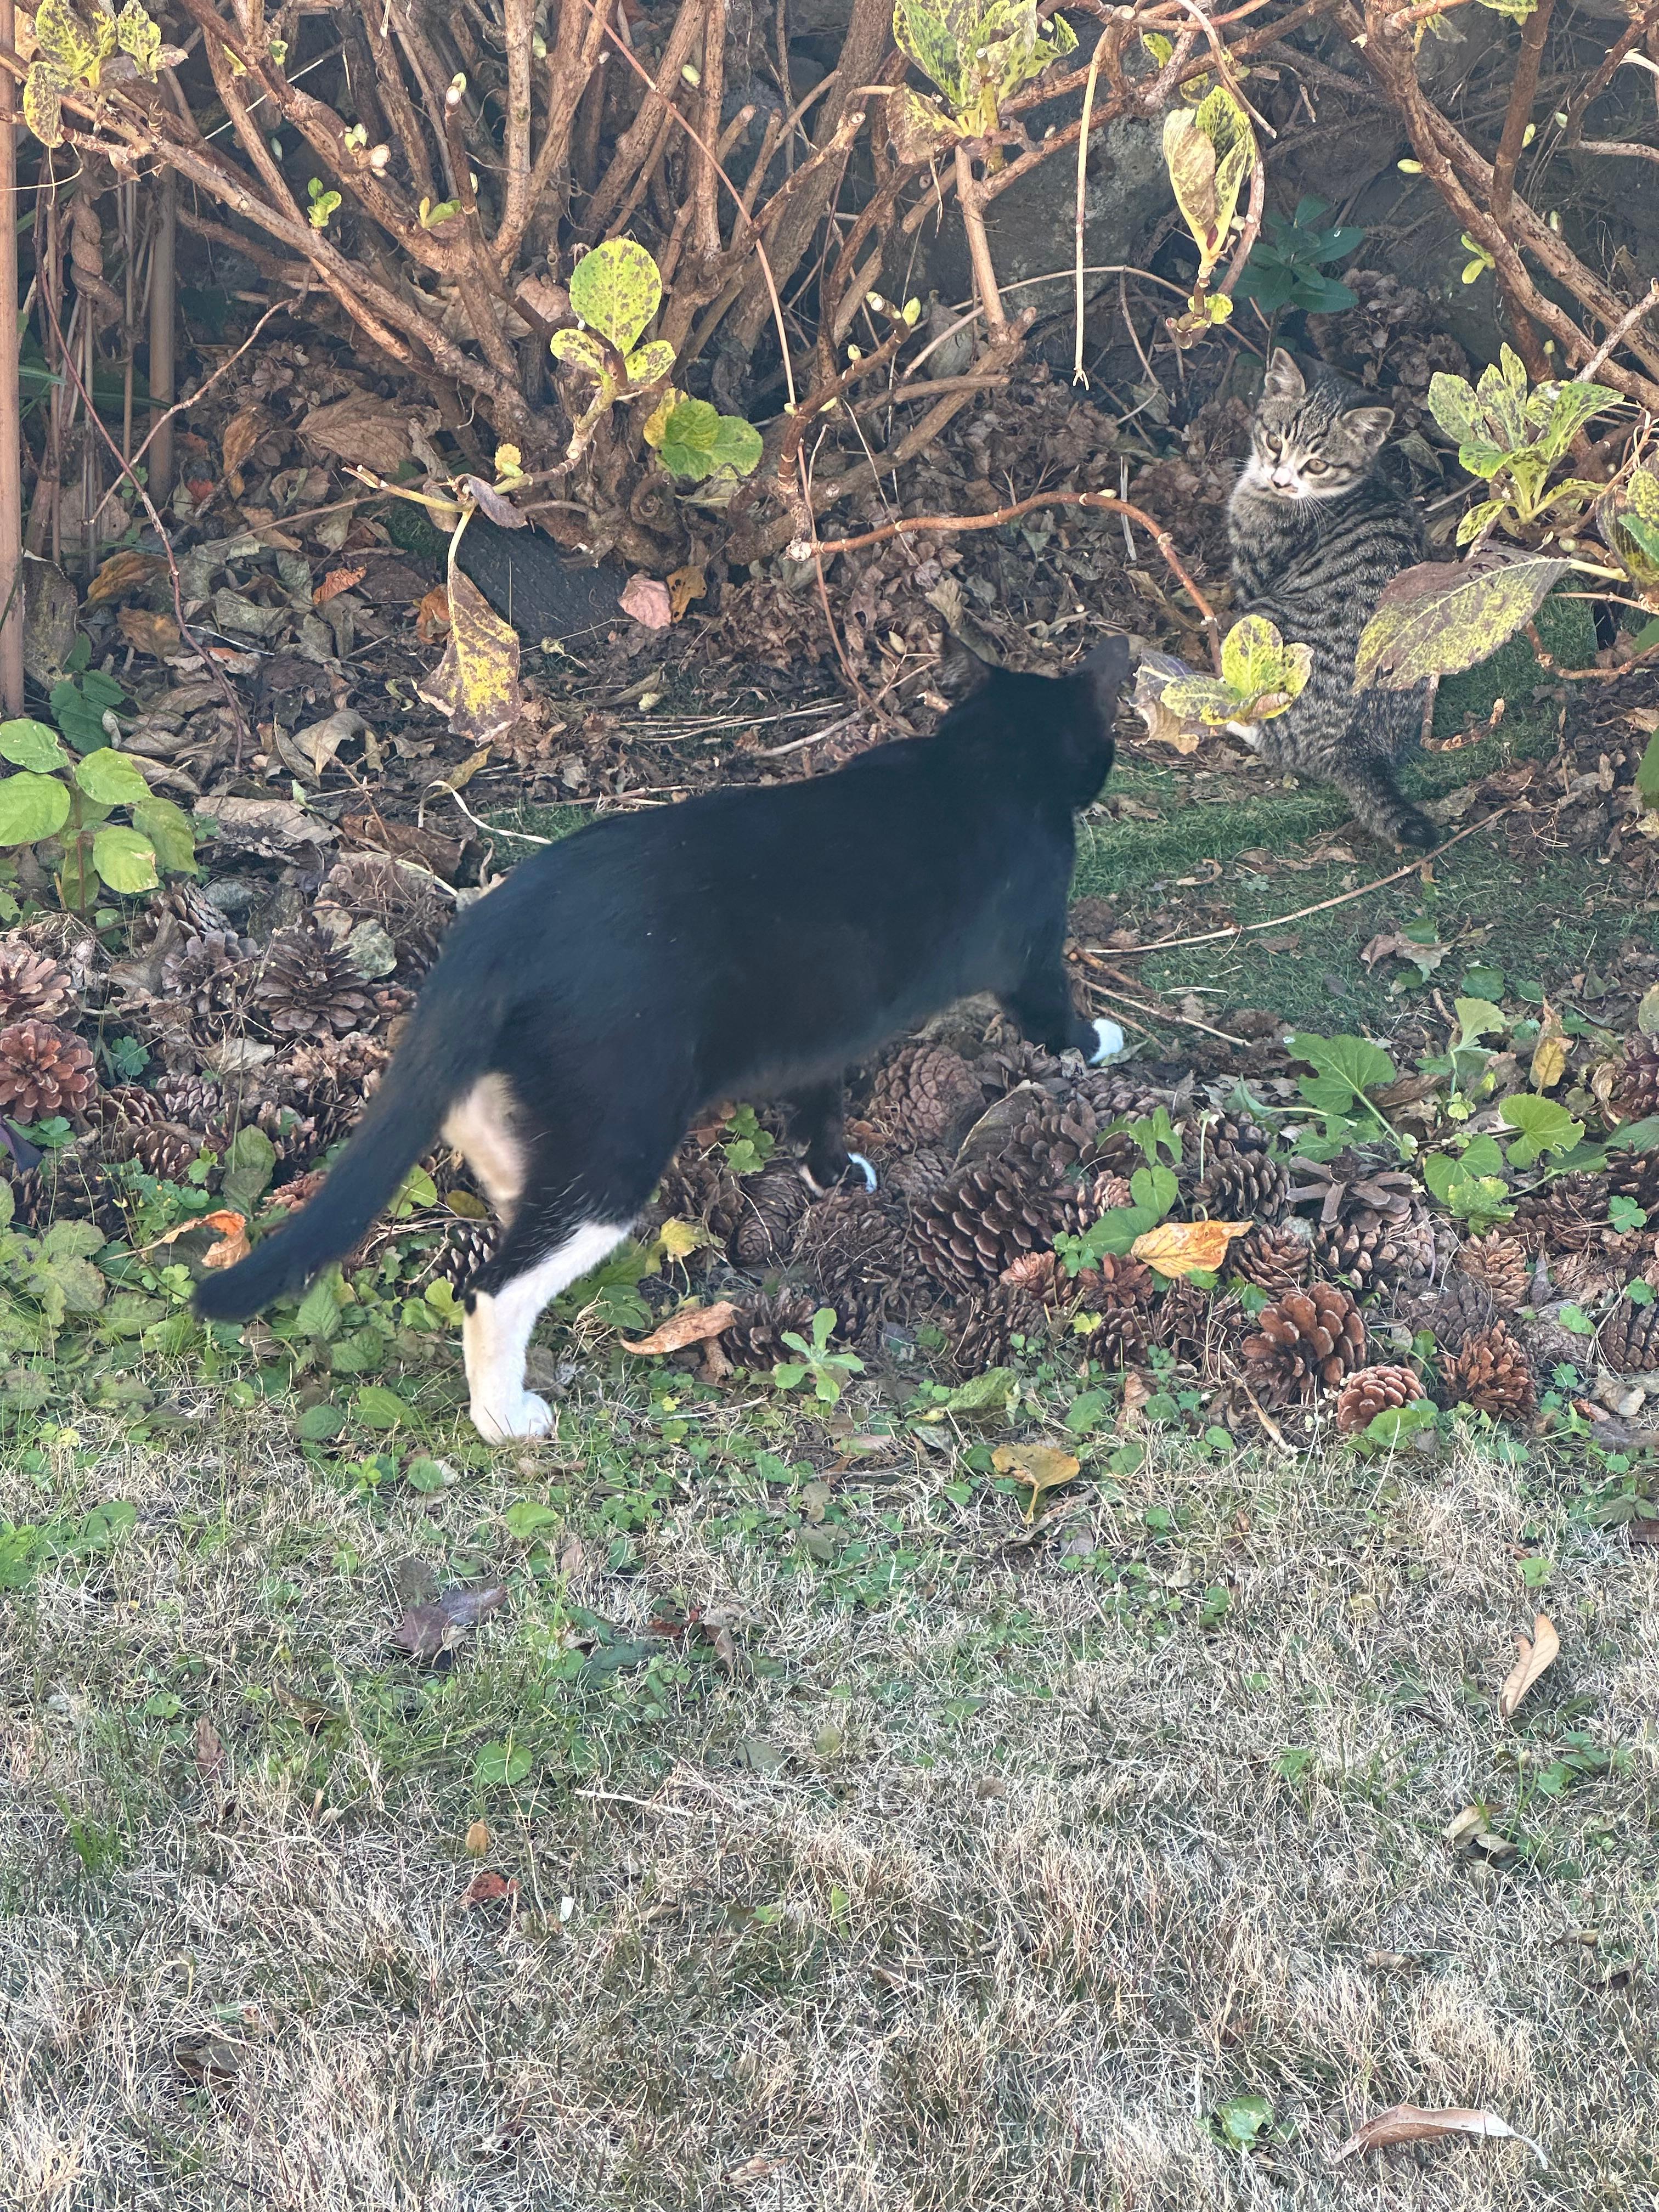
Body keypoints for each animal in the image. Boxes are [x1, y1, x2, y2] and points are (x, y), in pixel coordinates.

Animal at [196, 636, 1132, 1442]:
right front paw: (1100, 1040)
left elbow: (820, 1095)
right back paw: (506, 1417)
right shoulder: (1030, 948)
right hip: (624, 1120)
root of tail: (500, 927)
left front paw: (830, 1170)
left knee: (491, 1145)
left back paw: (513, 1187)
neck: (977, 760)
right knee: (498, 1286)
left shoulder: (828, 1024)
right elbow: (1053, 1012)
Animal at [1225, 347, 1434, 849]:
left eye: (1317, 465)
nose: (1281, 481)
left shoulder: (1253, 577)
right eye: (1275, 441)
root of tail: (1357, 743)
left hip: (1265, 623)